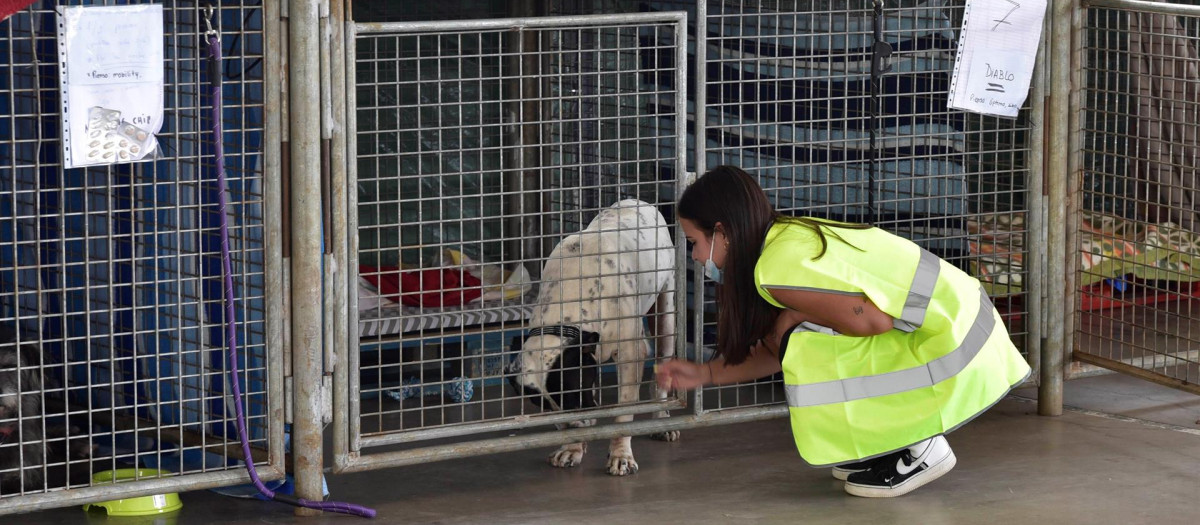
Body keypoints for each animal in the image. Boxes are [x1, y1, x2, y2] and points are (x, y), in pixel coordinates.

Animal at [506, 197, 676, 474]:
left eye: (572, 395)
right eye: (546, 407)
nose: (578, 423)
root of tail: (637, 200)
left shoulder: (629, 354)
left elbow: (624, 410)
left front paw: (621, 455)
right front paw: (572, 447)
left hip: (667, 312)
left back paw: (661, 417)